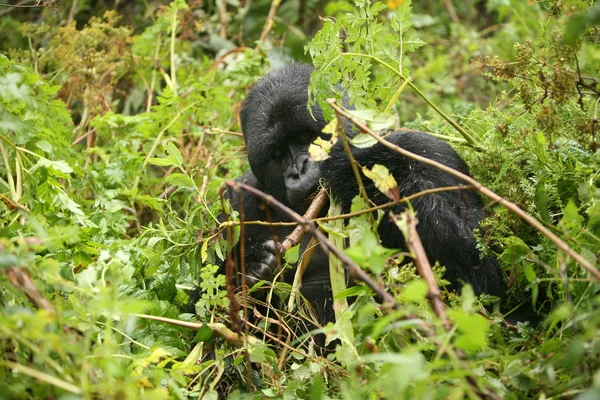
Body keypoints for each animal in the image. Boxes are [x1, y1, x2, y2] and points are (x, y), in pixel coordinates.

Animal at [220, 61, 502, 324]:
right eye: (278, 153)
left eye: (305, 138)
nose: (298, 170)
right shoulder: (235, 199)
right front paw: (252, 264)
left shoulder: (431, 150)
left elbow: (480, 271)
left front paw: (352, 160)